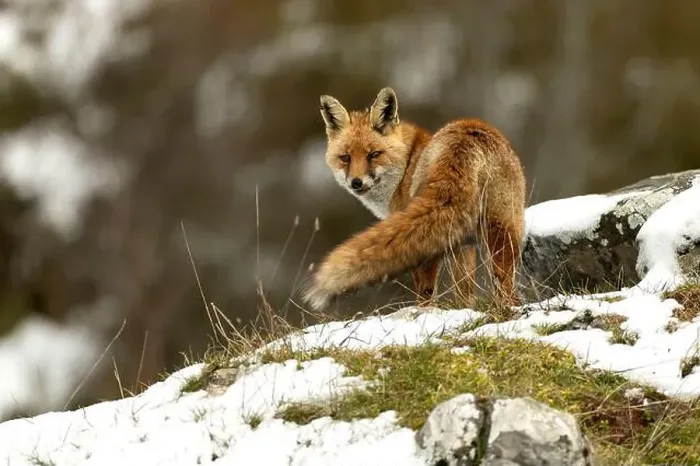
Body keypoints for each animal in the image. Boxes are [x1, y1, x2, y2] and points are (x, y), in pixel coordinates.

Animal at [301, 87, 526, 311]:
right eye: (345, 158)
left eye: (374, 154)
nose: (356, 182)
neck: (406, 166)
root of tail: (466, 136)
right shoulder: (464, 242)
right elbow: (465, 289)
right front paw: (465, 310)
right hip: (503, 226)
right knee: (504, 280)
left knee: (426, 288)